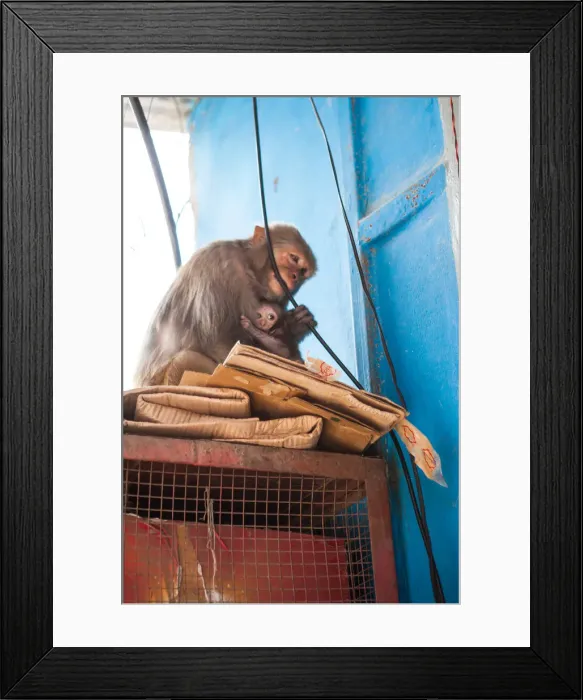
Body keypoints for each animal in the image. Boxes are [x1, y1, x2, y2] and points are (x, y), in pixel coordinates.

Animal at [134, 223, 317, 386]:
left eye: (303, 271)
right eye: (294, 258)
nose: (295, 277)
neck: (249, 269)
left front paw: (298, 323)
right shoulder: (220, 263)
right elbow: (217, 340)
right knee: (184, 360)